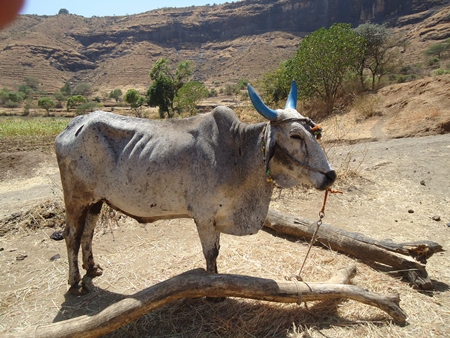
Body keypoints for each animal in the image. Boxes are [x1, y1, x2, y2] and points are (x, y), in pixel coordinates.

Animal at [55, 81, 334, 294]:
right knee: (72, 235)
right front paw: (213, 292)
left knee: (88, 233)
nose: (331, 176)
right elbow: (210, 253)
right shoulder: (204, 216)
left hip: (95, 200)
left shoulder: (217, 217)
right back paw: (74, 281)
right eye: (296, 135)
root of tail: (72, 125)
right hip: (76, 199)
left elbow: (217, 251)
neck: (239, 151)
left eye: (315, 132)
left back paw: (92, 268)